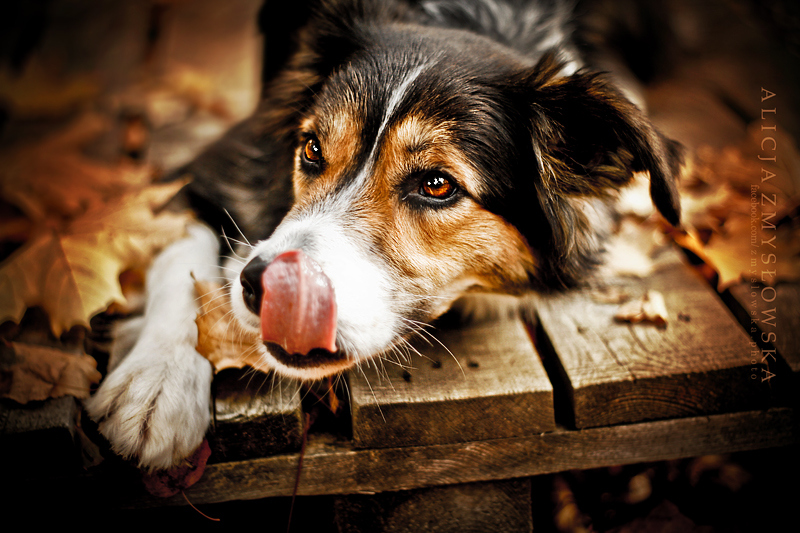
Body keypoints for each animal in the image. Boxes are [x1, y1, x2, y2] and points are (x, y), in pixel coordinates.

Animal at [84, 0, 680, 466]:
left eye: (437, 184)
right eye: (312, 149)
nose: (260, 284)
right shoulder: (197, 173)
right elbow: (179, 259)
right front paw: (155, 386)